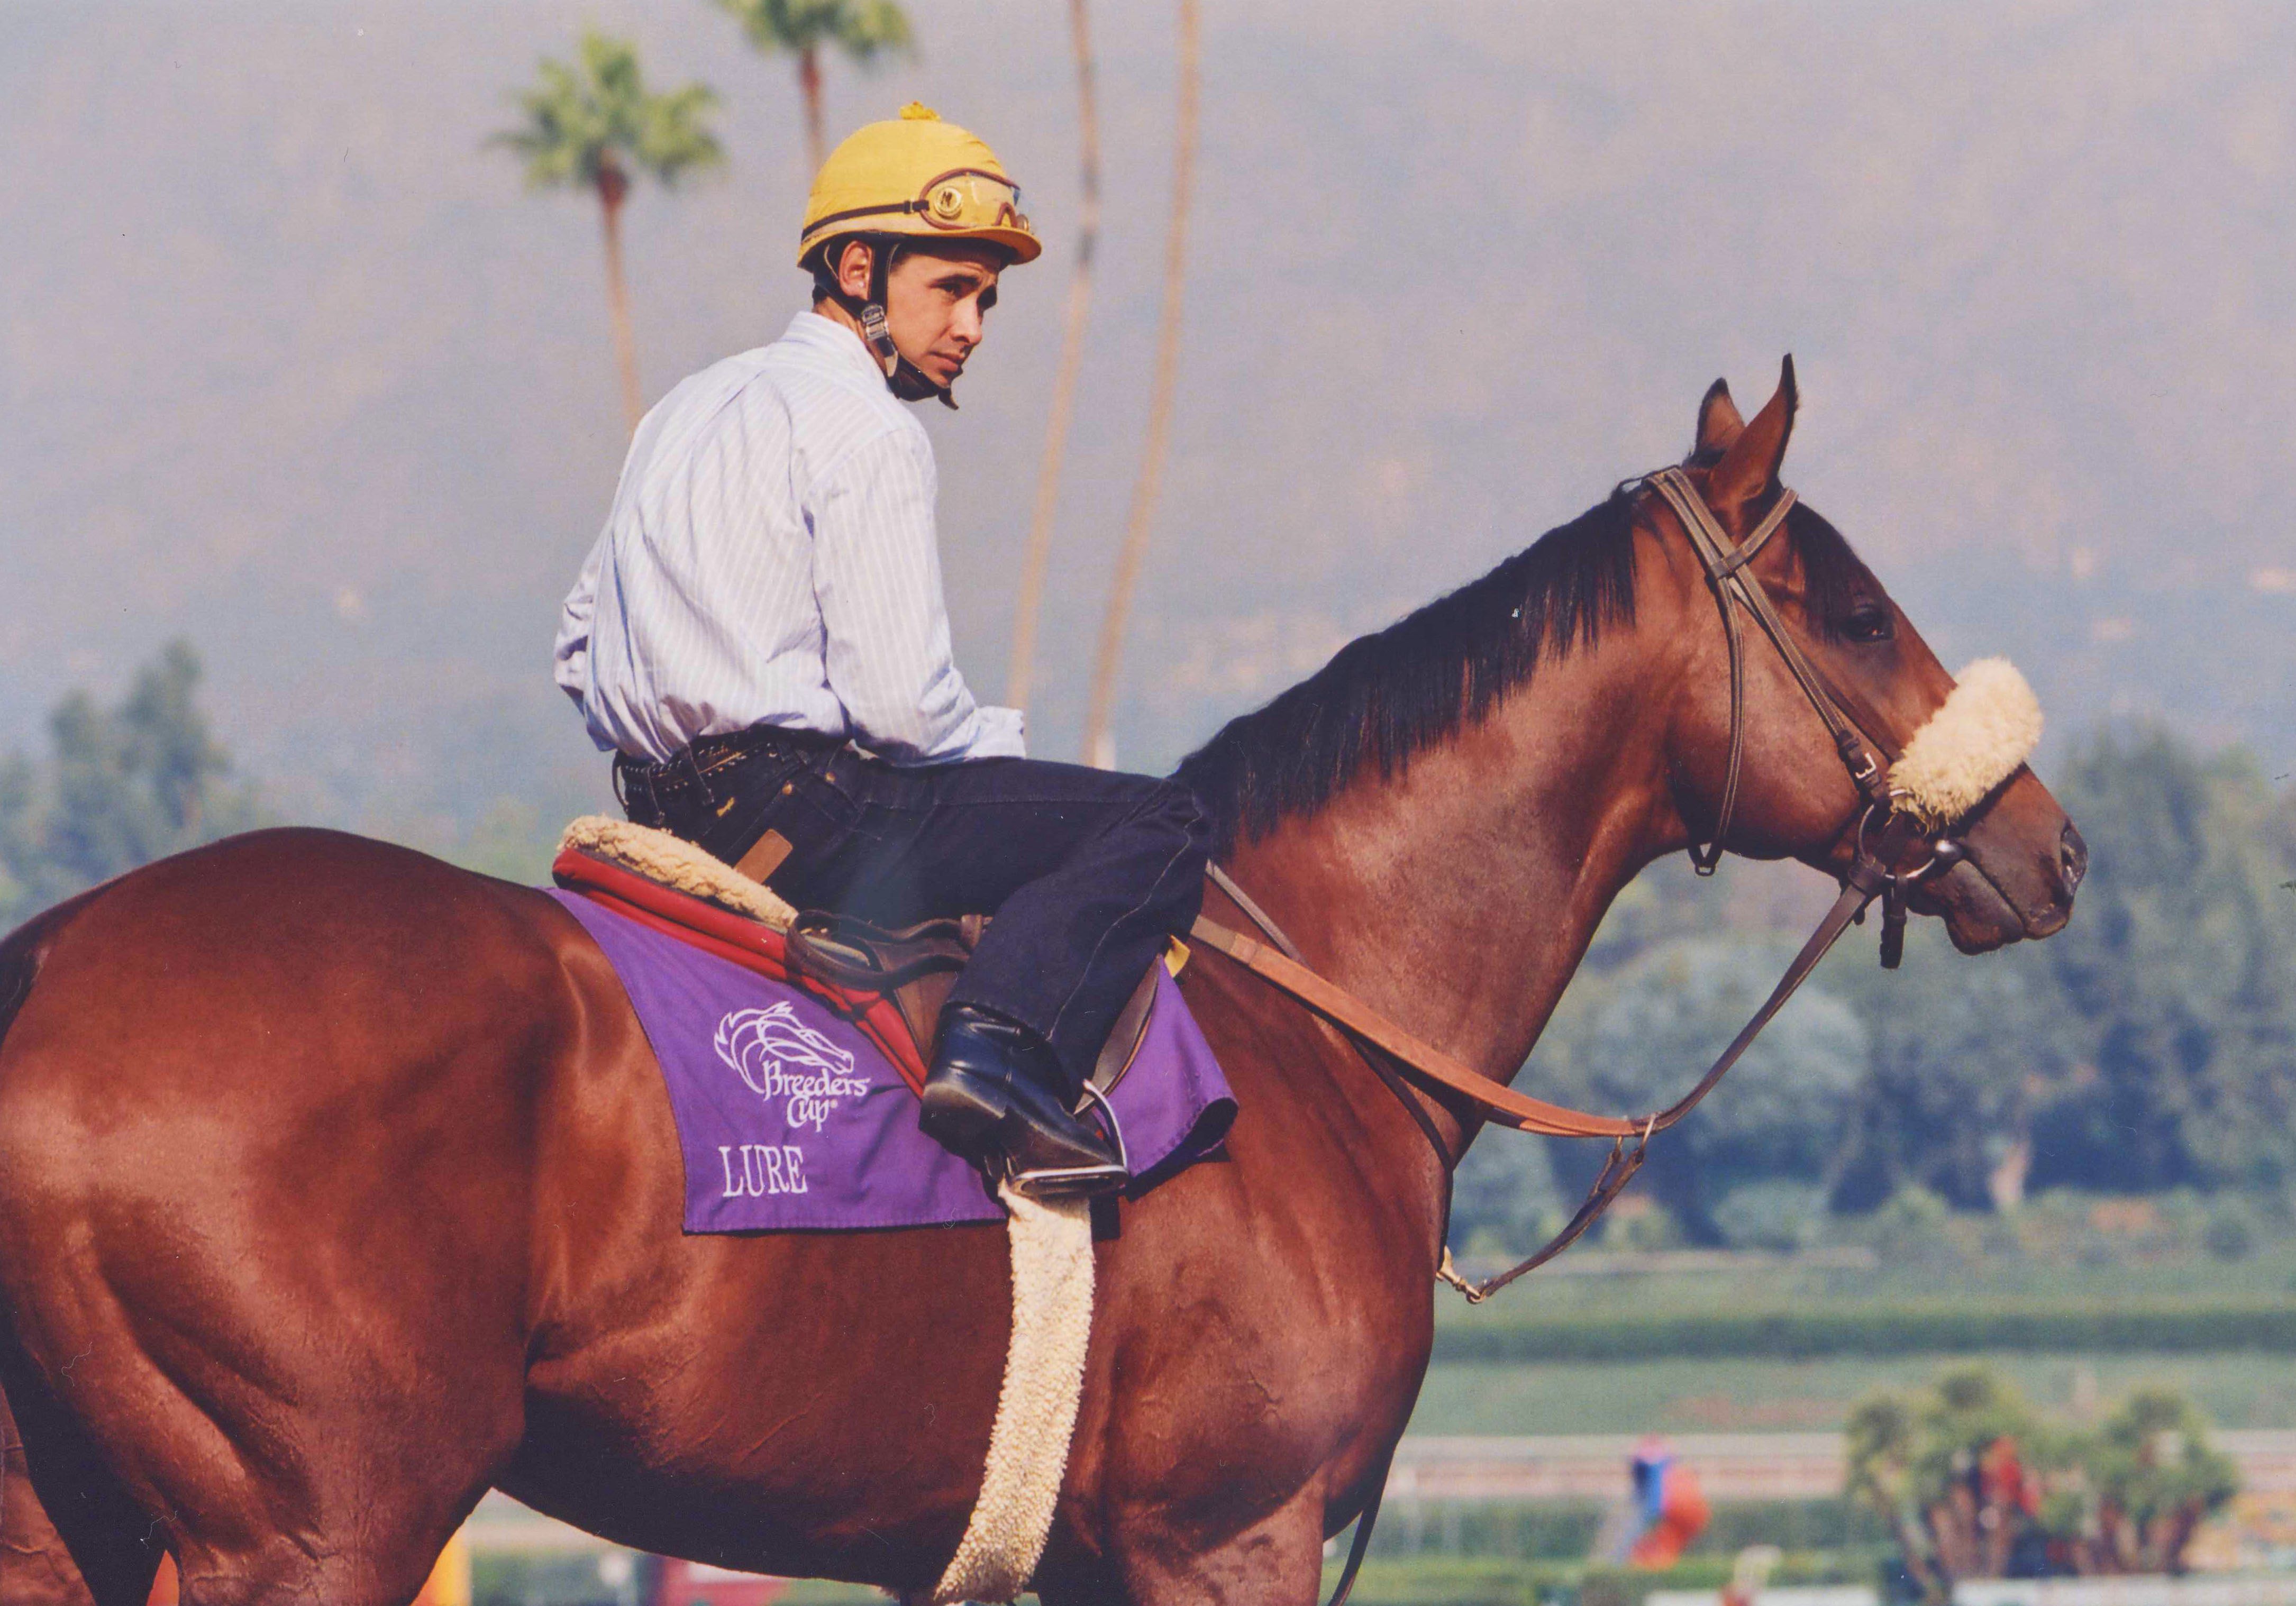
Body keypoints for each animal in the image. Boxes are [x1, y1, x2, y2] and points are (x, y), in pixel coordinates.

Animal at [0, 364, 2084, 1606]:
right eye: (1852, 607)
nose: (2053, 843)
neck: (1314, 1015)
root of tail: (47, 969)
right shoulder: (1229, 1538)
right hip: (320, 1516)